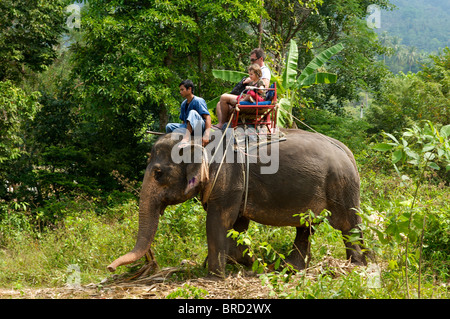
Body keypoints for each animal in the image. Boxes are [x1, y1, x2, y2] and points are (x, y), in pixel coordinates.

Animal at [107, 129, 368, 278]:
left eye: (158, 173)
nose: (110, 268)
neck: (201, 141)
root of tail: (348, 152)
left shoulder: (229, 179)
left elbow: (219, 220)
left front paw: (214, 275)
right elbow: (238, 225)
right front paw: (248, 262)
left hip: (341, 184)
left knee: (347, 225)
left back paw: (355, 266)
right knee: (306, 226)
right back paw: (289, 268)